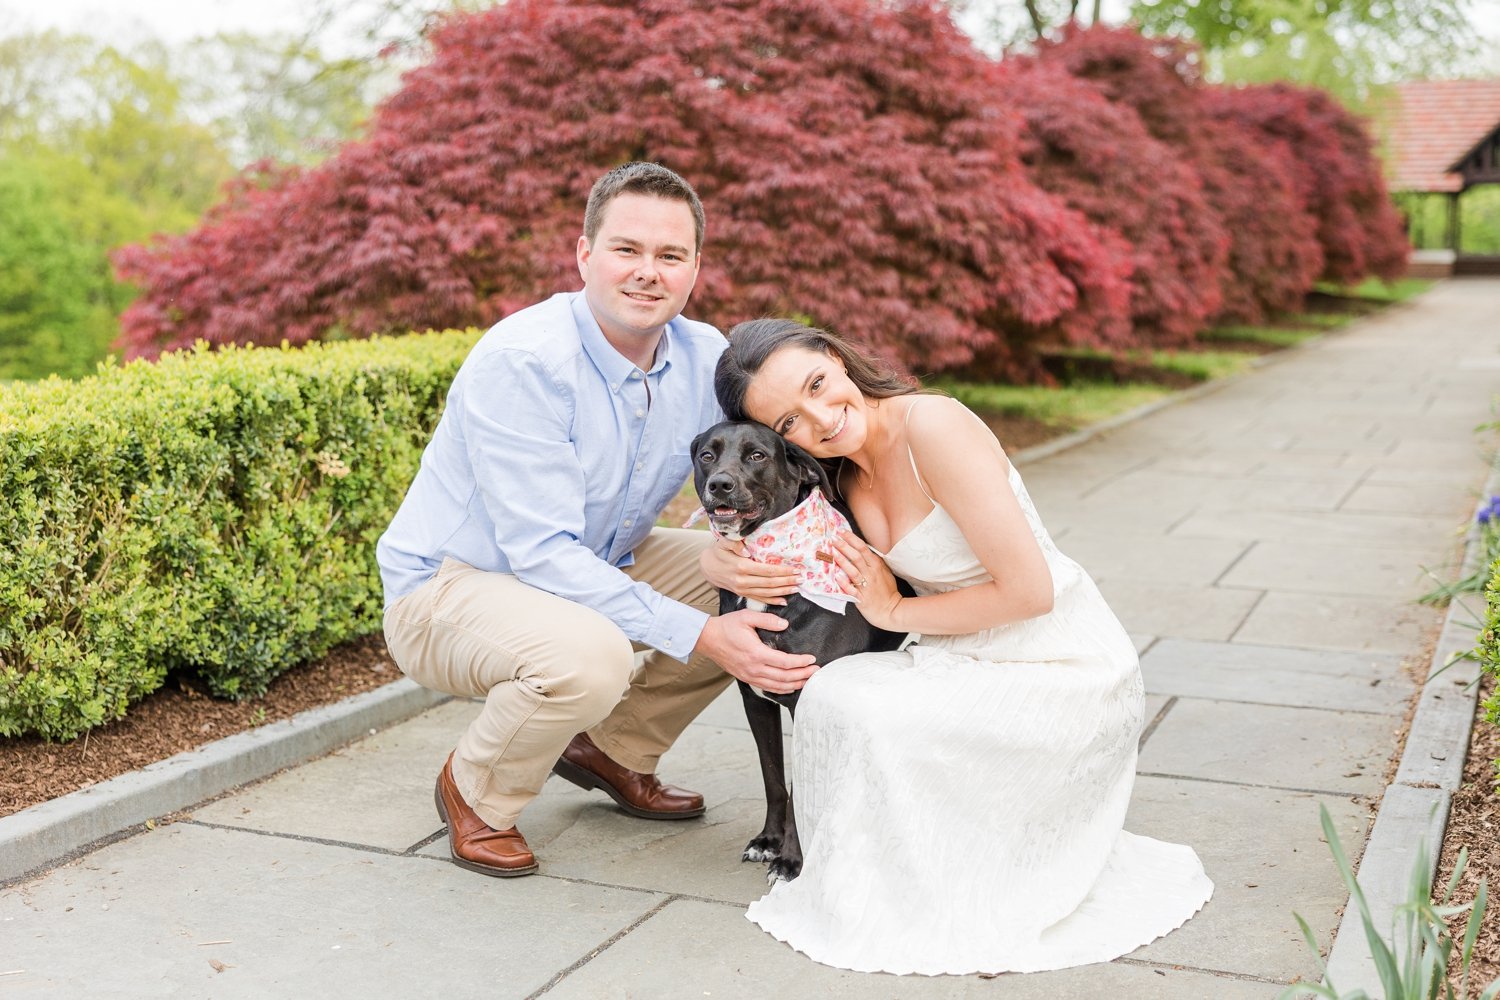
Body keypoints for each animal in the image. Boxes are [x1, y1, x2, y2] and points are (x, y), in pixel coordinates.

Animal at [687, 422, 900, 881]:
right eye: (707, 455)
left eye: (757, 456)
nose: (720, 485)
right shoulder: (756, 700)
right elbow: (773, 779)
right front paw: (769, 841)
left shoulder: (806, 702)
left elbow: (799, 785)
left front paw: (791, 861)